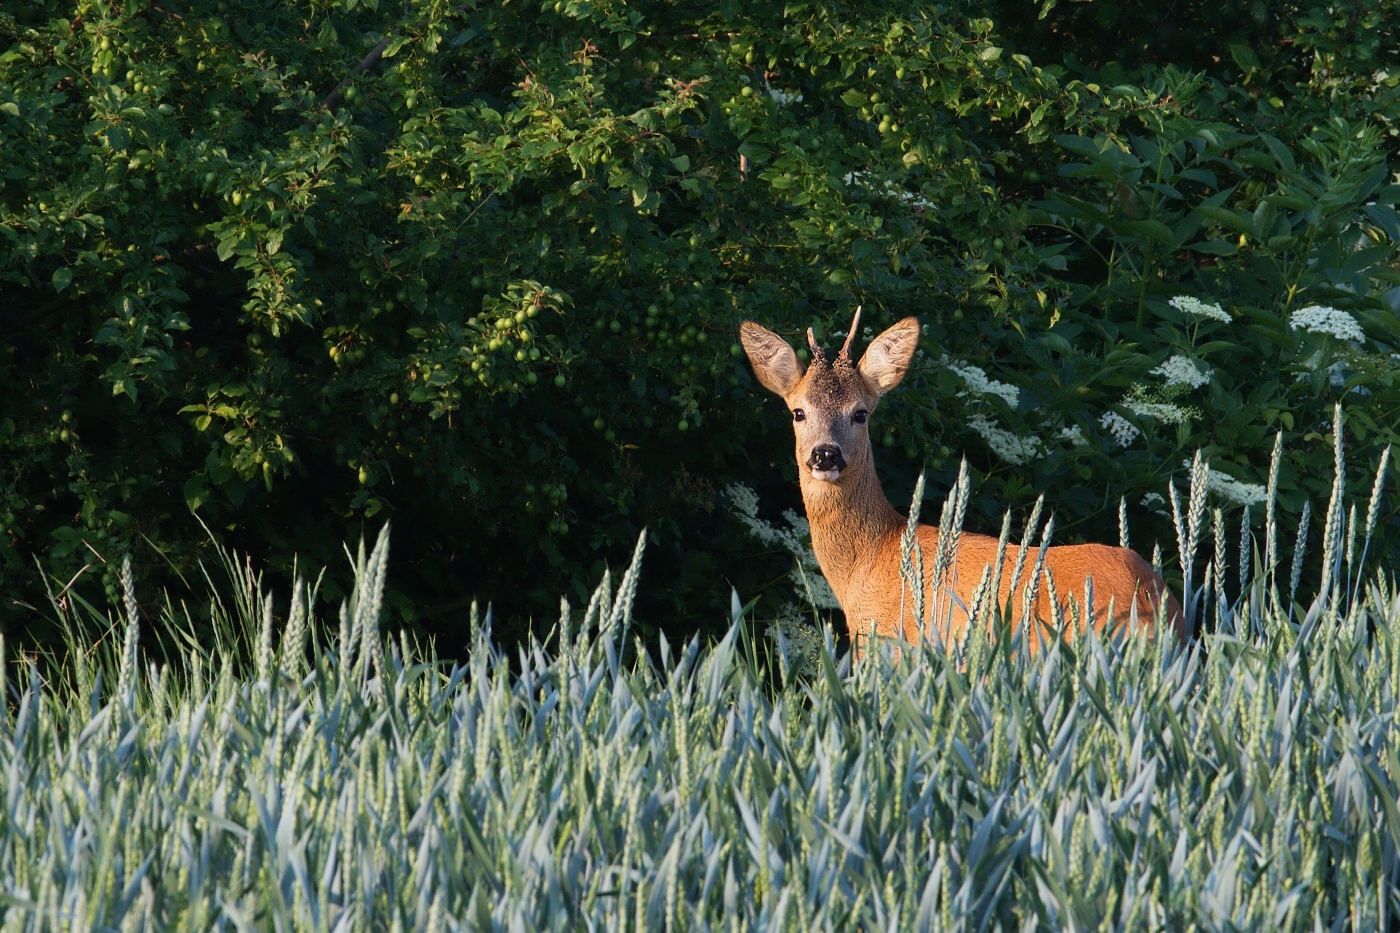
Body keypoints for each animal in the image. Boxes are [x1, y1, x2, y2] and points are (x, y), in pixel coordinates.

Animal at [739, 311, 1187, 647]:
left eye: (860, 413)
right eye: (798, 411)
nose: (825, 453)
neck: (871, 558)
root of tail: (1156, 603)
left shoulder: (888, 645)